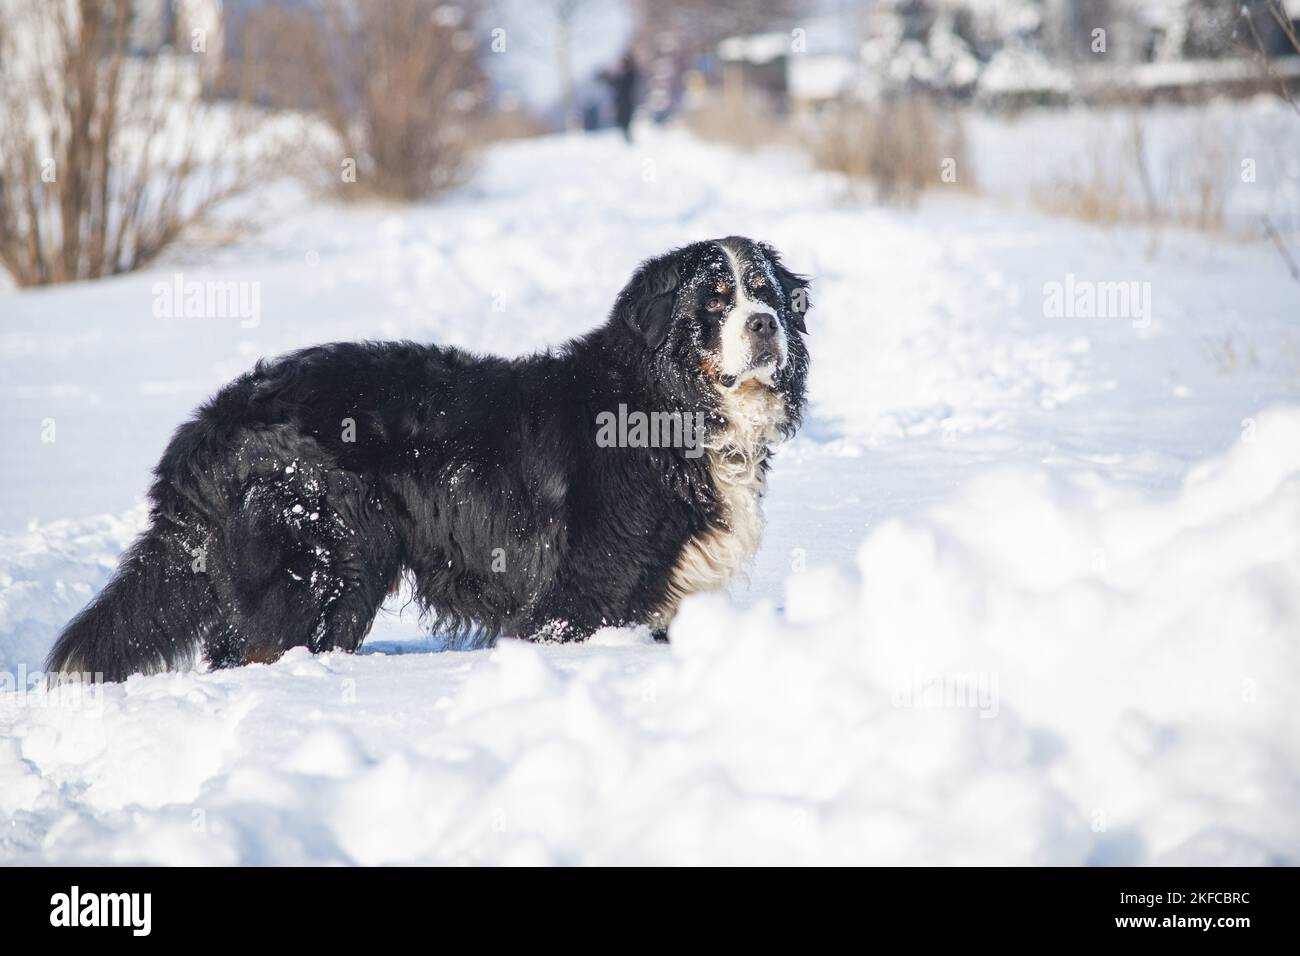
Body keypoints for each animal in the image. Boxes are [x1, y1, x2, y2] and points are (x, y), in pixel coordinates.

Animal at [50, 236, 811, 681]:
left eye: (768, 291)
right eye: (714, 299)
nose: (765, 323)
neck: (665, 407)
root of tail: (213, 418)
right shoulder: (579, 594)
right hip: (329, 554)